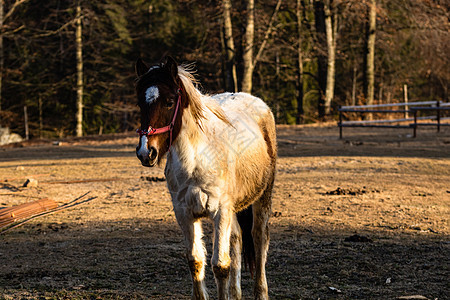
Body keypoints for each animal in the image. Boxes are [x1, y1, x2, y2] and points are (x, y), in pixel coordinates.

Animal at [134, 56, 276, 300]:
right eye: (140, 103)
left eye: (169, 102)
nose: (146, 152)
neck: (196, 160)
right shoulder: (185, 213)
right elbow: (196, 261)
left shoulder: (221, 211)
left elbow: (220, 266)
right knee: (237, 238)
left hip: (262, 197)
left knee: (259, 240)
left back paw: (261, 292)